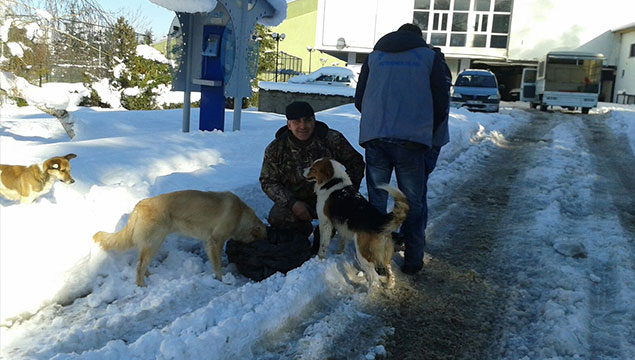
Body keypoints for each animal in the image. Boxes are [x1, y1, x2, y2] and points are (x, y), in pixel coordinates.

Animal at [93, 188, 268, 286]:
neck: (240, 214)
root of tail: (139, 205)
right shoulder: (216, 240)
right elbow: (217, 263)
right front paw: (220, 278)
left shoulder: (208, 241)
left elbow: (214, 259)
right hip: (155, 242)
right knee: (140, 266)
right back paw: (142, 285)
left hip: (151, 244)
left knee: (141, 263)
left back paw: (148, 276)